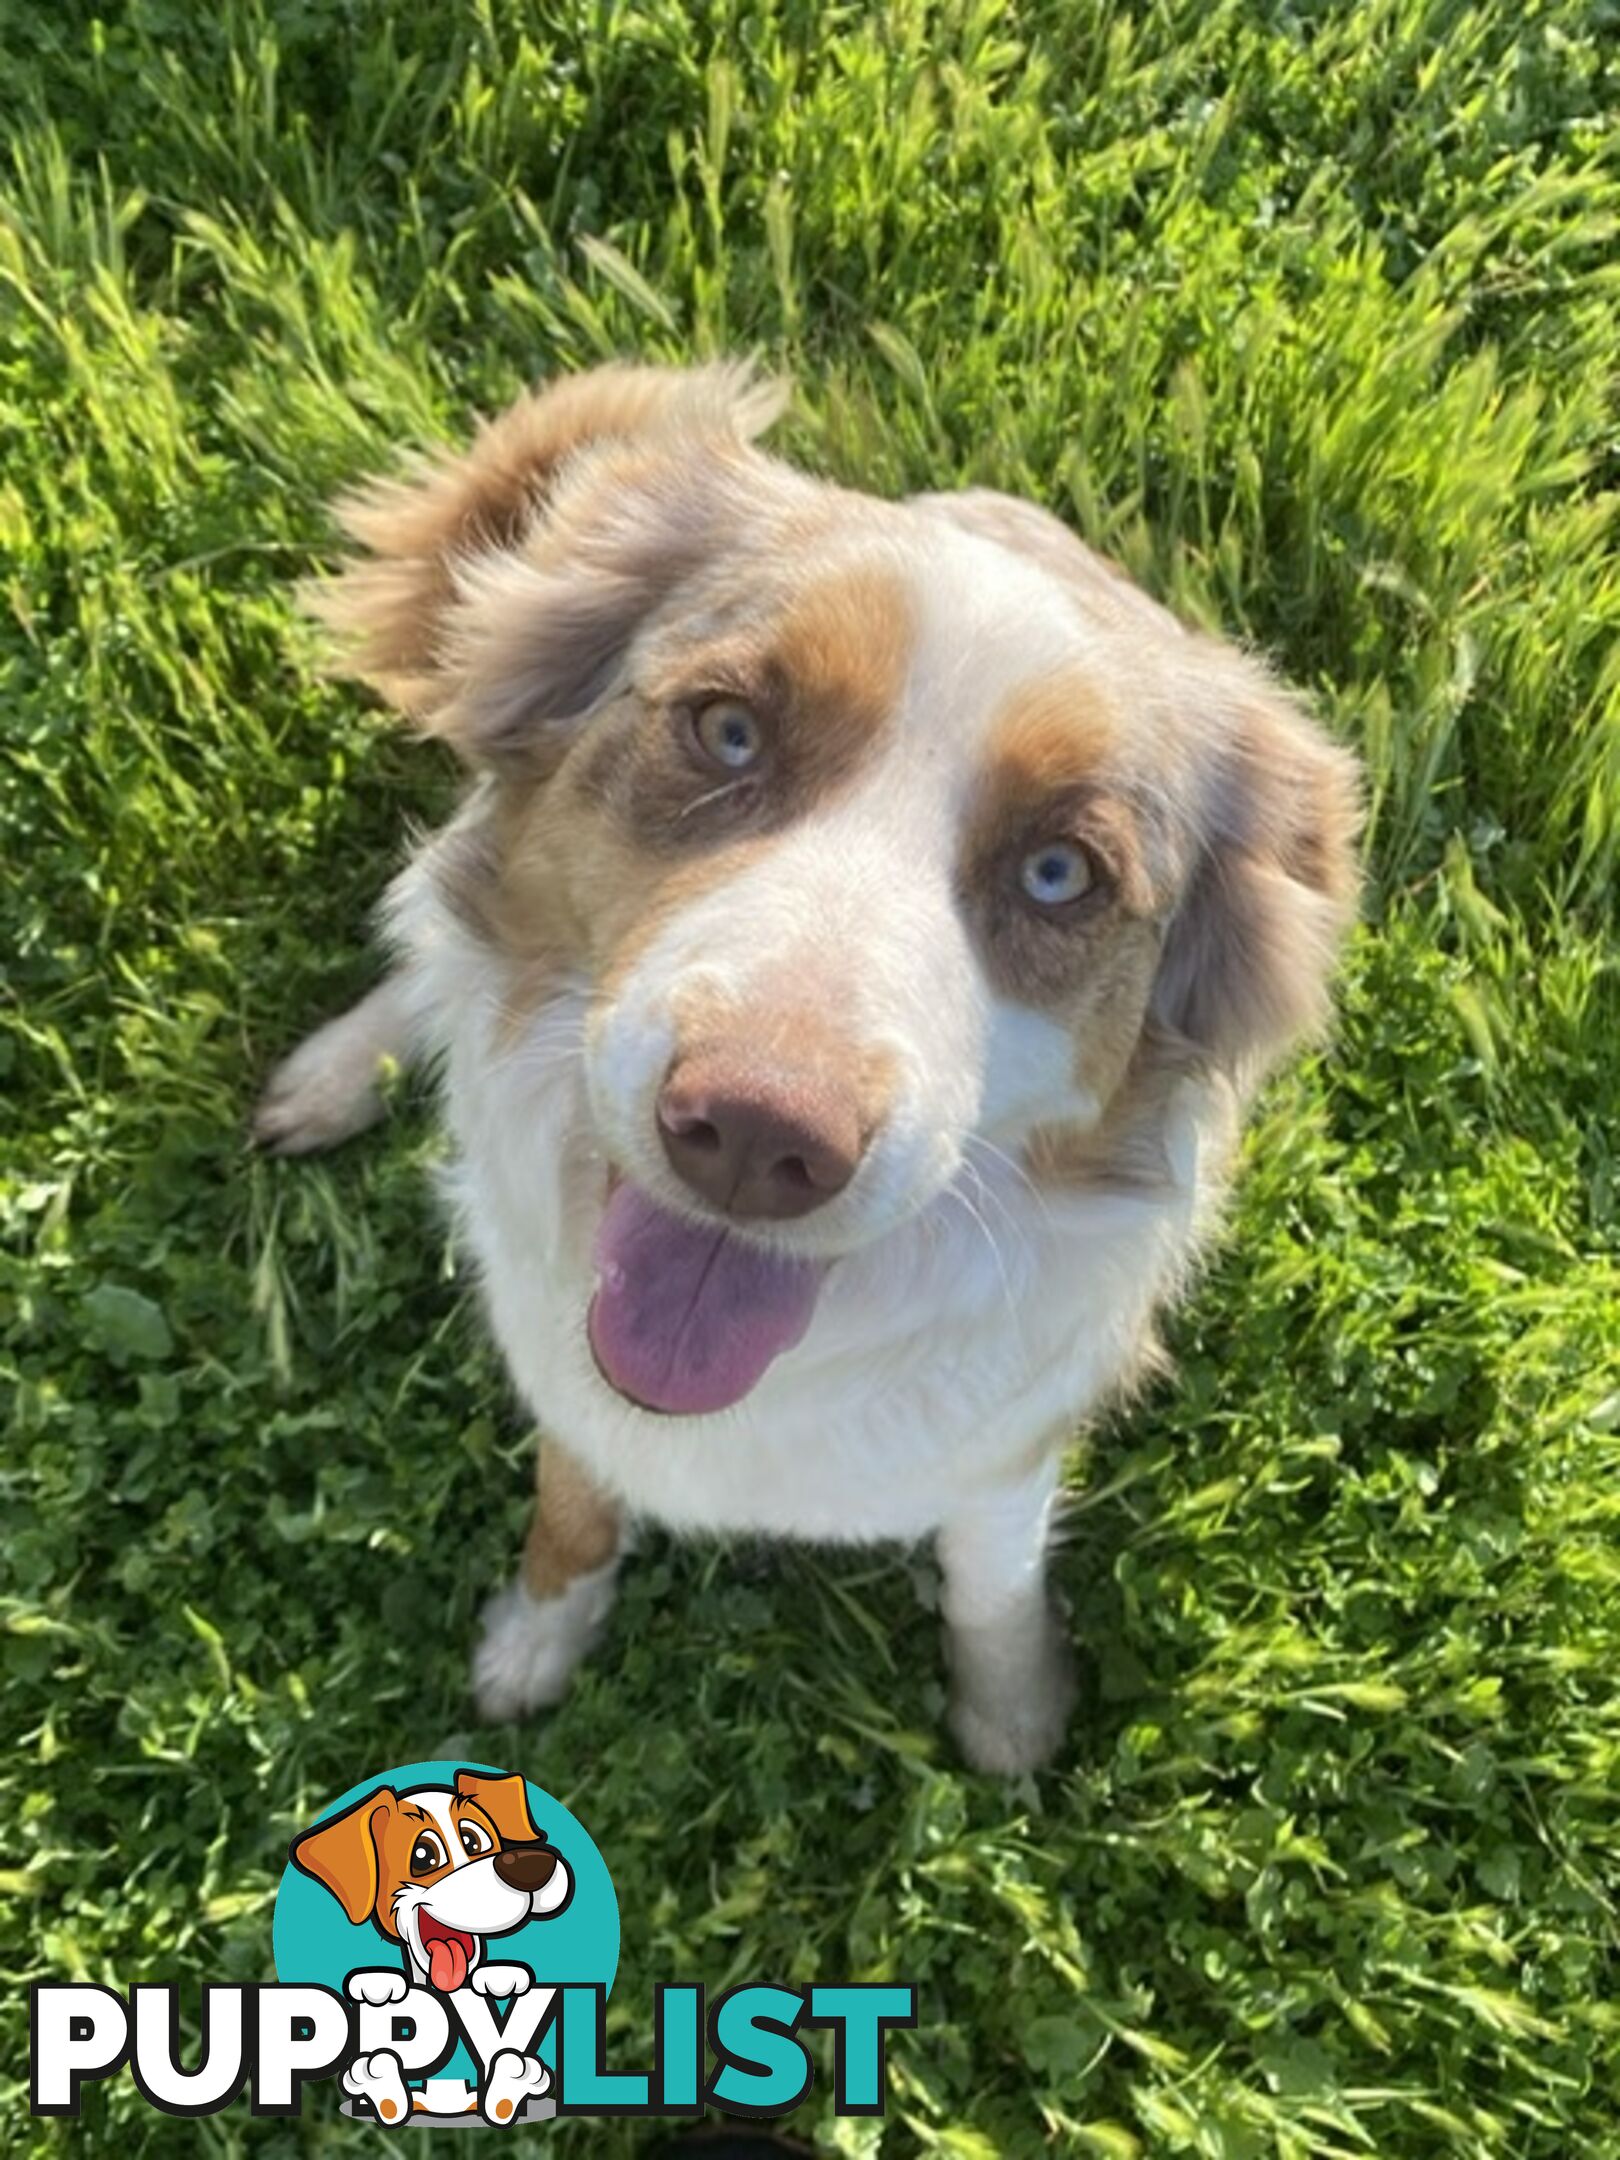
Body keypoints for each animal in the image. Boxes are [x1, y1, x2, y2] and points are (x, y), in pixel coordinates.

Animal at [253, 358, 1365, 1771]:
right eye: (729, 730)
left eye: (1061, 873)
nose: (755, 1135)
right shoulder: (564, 1378)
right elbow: (571, 1506)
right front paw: (536, 1640)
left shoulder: (1006, 1457)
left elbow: (991, 1587)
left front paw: (1011, 1720)